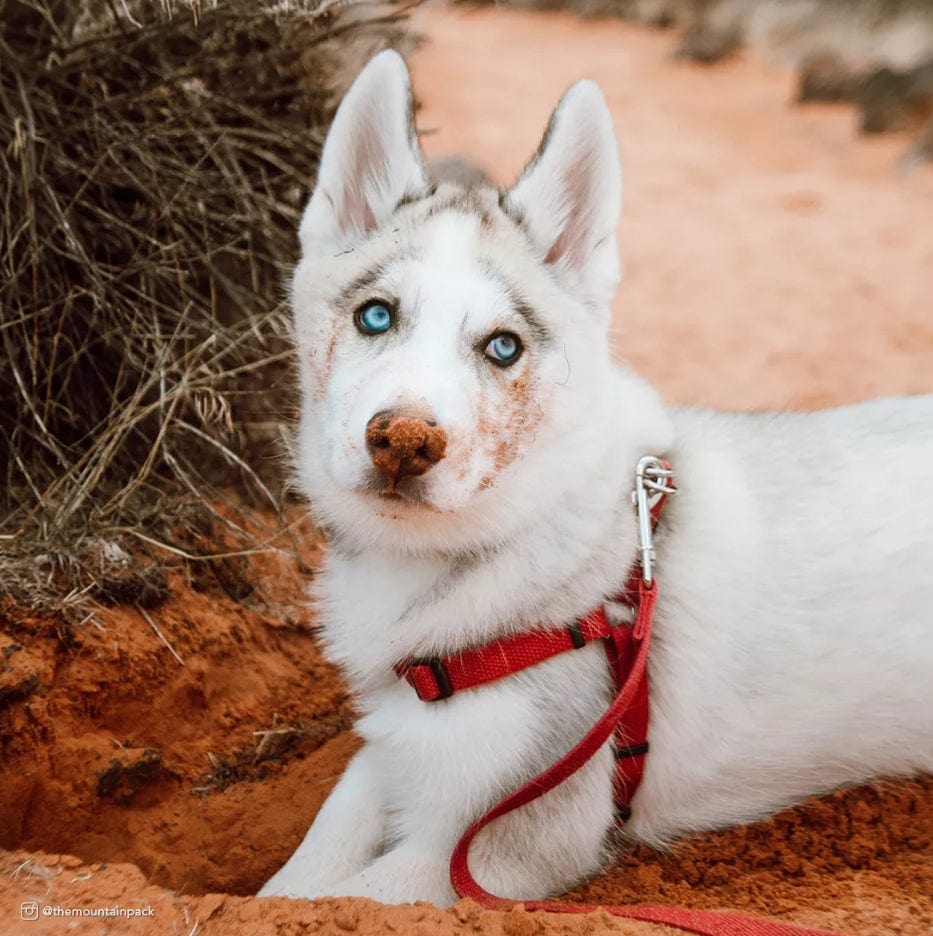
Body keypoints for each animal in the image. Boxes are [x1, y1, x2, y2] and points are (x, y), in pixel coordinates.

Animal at [260, 51, 932, 908]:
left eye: (503, 346)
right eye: (375, 316)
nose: (403, 442)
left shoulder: (499, 848)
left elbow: (348, 896)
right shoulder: (399, 744)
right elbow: (297, 877)